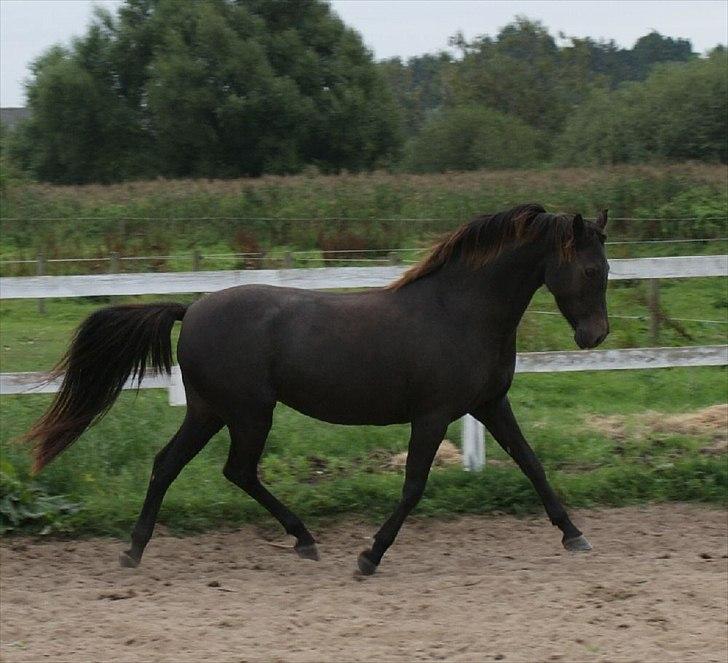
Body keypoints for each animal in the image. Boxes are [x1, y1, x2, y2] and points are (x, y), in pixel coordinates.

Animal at [23, 203, 609, 576]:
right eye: (587, 269)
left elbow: (533, 465)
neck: (459, 311)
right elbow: (414, 487)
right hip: (248, 412)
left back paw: (136, 549)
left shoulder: (489, 405)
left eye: (606, 267)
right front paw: (370, 556)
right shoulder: (433, 415)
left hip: (211, 411)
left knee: (169, 464)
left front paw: (574, 535)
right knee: (235, 470)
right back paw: (302, 539)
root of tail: (191, 309)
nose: (595, 335)